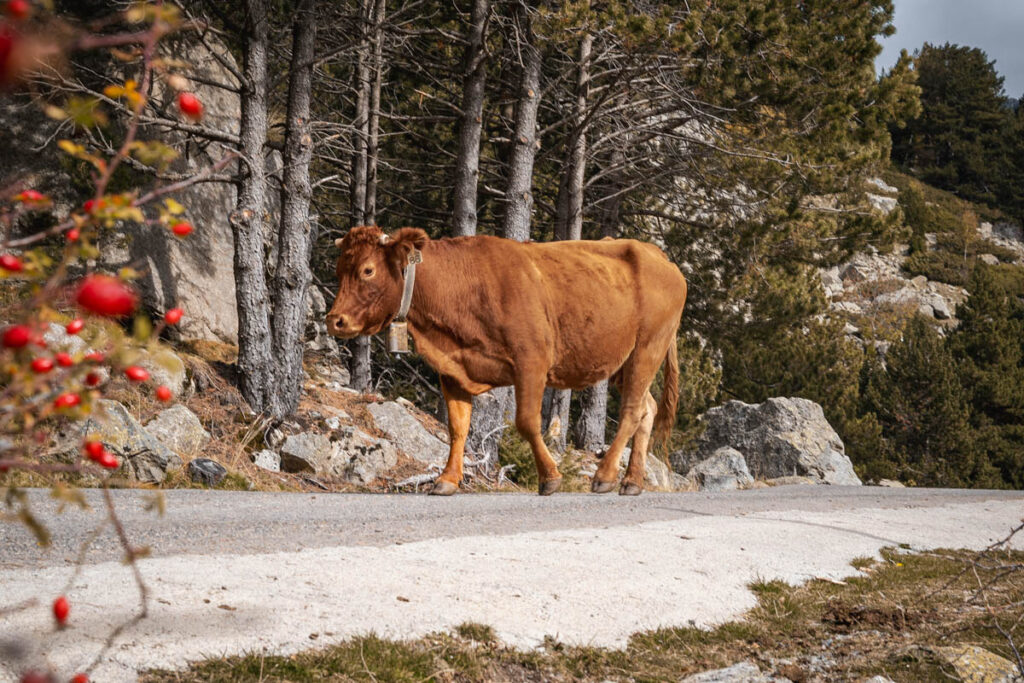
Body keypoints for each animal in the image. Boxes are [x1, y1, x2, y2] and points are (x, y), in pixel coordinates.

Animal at [326, 225, 687, 496]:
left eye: (367, 270)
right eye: (339, 270)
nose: (335, 320)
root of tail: (658, 255)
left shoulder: (532, 361)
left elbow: (526, 422)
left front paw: (550, 477)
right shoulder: (454, 370)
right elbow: (457, 427)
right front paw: (447, 480)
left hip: (647, 349)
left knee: (632, 411)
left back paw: (605, 476)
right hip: (623, 362)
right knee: (647, 408)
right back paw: (631, 481)